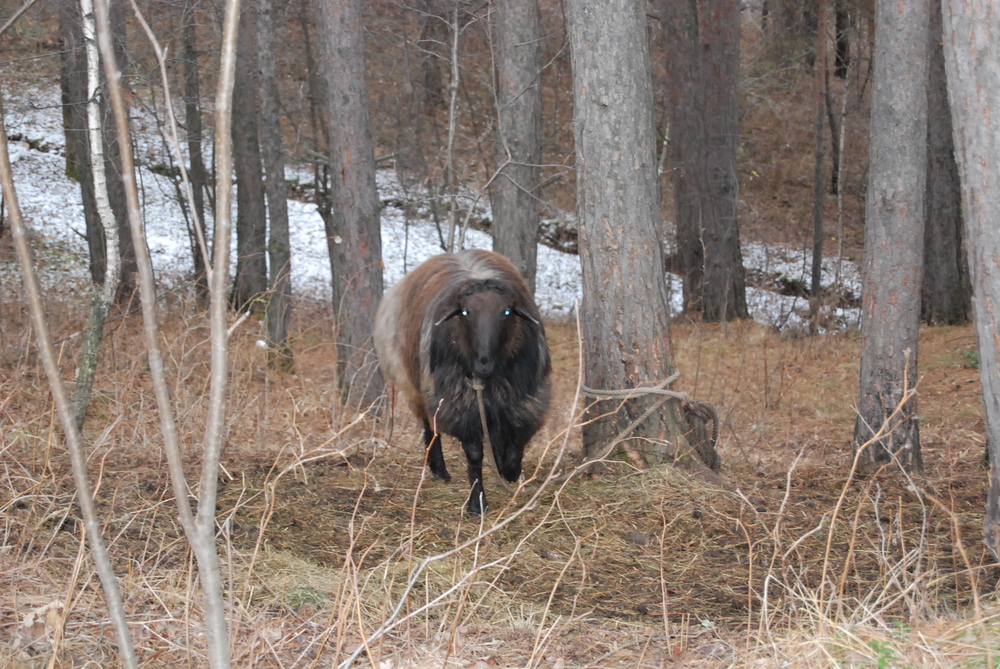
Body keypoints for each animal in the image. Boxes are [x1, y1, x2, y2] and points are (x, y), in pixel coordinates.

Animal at [374, 248, 552, 516]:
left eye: (507, 312)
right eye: (466, 312)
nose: (483, 363)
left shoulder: (524, 400)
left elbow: (516, 442)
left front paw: (507, 470)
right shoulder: (461, 405)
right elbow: (475, 455)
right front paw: (477, 503)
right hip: (419, 386)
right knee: (430, 428)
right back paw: (439, 469)